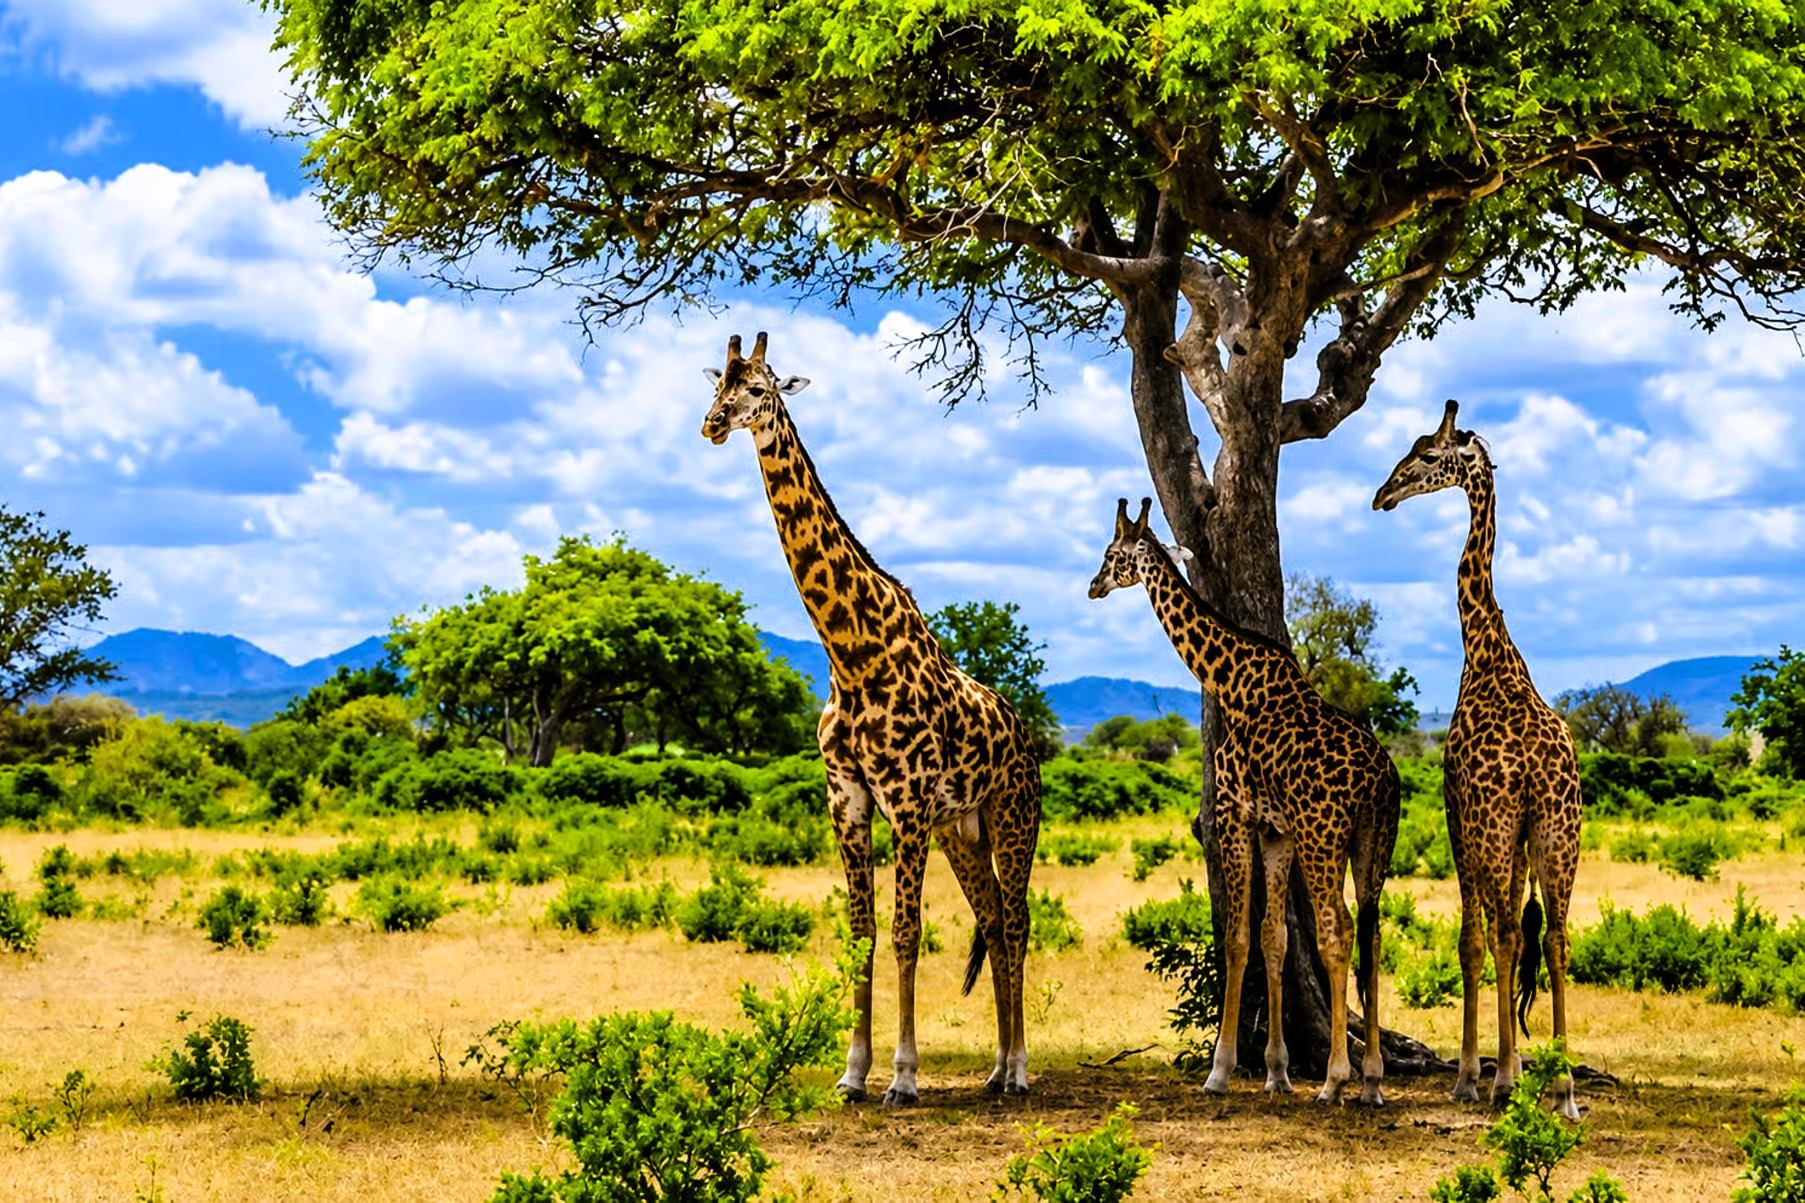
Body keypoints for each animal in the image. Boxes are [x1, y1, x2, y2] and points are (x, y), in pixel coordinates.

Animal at [700, 332, 1042, 1103]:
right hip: (962, 827)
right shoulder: (848, 799)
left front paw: (904, 1076)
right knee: (992, 919)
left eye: (760, 389)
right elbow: (861, 932)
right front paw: (852, 1072)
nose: (712, 425)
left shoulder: (906, 802)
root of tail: (1026, 733)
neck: (850, 652)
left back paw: (1018, 1069)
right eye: (716, 385)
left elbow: (907, 930)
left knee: (1017, 920)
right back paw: (994, 1067)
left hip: (1011, 815)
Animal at [1090, 498, 1401, 1105]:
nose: (1093, 586)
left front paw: (1221, 1070)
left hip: (1324, 836)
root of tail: (1381, 779)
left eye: (1113, 554)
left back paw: (1336, 1079)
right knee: (1372, 934)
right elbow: (1273, 938)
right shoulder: (1275, 830)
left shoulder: (1233, 814)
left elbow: (1235, 938)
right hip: (1373, 840)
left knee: (1338, 930)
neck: (1228, 679)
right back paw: (1373, 1079)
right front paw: (1277, 1072)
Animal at [1373, 399, 1583, 1117]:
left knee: (1505, 935)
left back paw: (1504, 1083)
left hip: (1497, 830)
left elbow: (1471, 940)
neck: (1485, 646)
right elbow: (1513, 933)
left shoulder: (1456, 811)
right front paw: (1511, 1066)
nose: (1383, 494)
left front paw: (1473, 1072)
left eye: (1428, 456)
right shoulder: (1515, 834)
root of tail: (1539, 770)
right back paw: (1563, 1088)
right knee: (1553, 935)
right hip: (1558, 831)